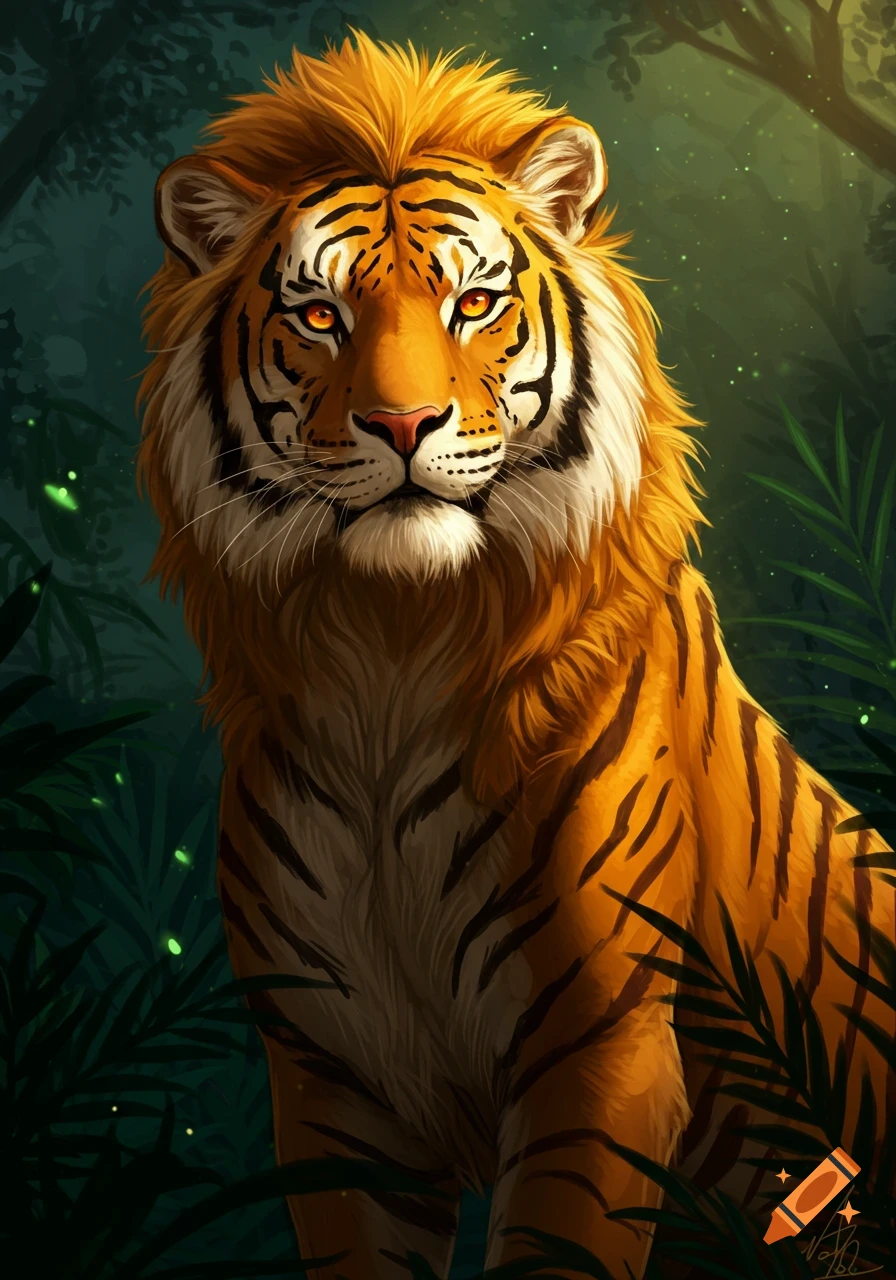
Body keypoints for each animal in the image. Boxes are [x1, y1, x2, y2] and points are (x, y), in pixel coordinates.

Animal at [137, 31, 896, 1280]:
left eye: (473, 302)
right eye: (319, 316)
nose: (402, 425)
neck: (389, 653)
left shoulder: (598, 1047)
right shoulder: (333, 1083)